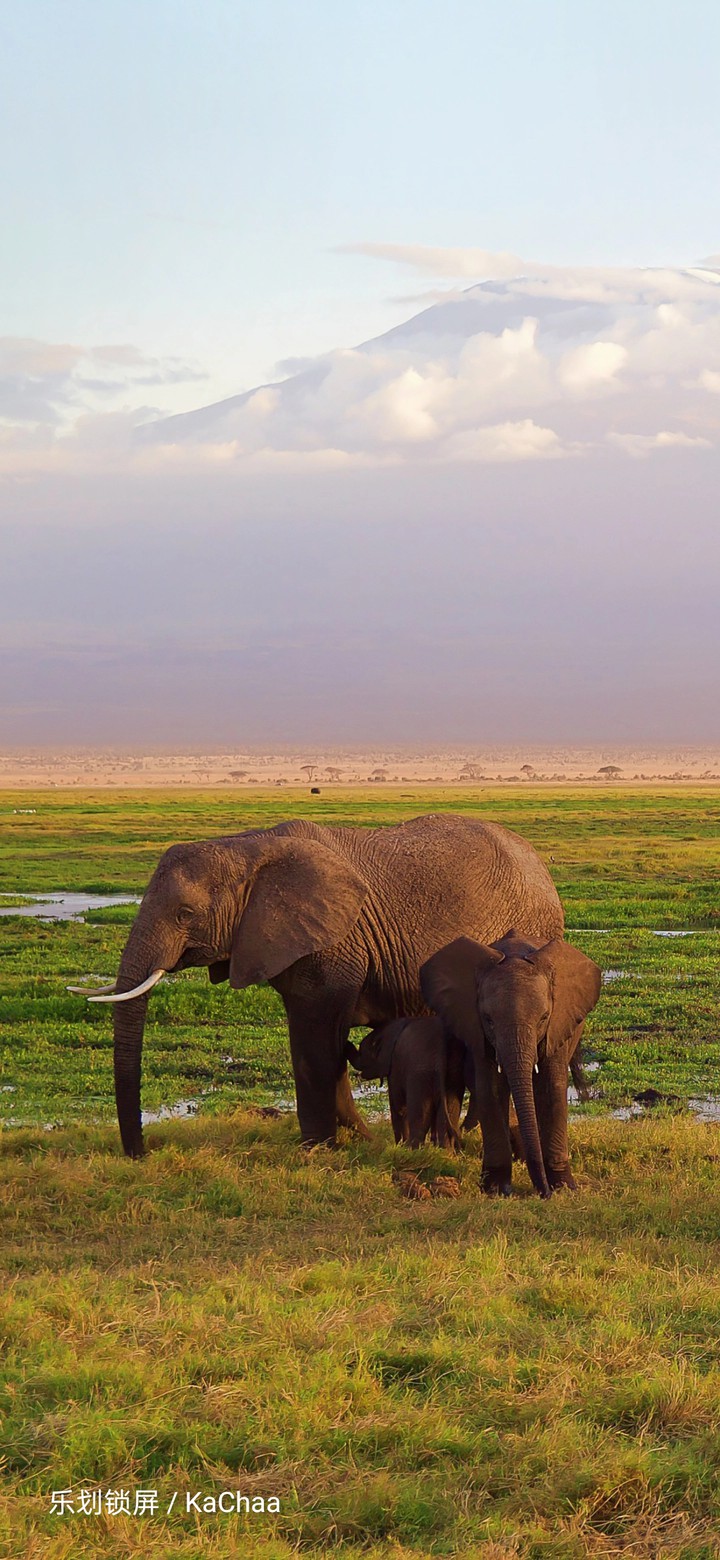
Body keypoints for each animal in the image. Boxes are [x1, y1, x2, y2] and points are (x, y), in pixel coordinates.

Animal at [345, 1017, 464, 1150]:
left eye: (361, 1050)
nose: (346, 1041)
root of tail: (440, 1053)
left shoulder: (395, 1066)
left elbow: (398, 1106)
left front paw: (399, 1146)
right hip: (453, 1073)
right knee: (450, 1109)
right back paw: (446, 1152)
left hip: (419, 1072)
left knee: (419, 1111)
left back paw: (411, 1149)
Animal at [420, 932, 601, 1198]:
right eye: (488, 1020)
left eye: (544, 1018)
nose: (543, 1193)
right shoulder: (477, 1031)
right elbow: (491, 1090)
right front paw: (496, 1189)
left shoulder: (557, 1026)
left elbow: (552, 1090)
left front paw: (564, 1187)